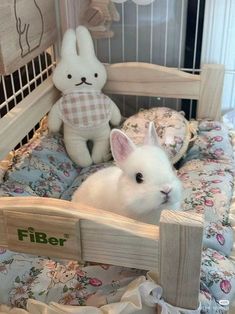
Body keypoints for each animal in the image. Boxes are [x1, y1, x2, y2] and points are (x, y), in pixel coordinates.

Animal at [47, 26, 121, 168]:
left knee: (100, 146)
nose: (83, 79)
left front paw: (117, 120)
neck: (83, 89)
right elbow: (54, 118)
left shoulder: (106, 100)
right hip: (75, 138)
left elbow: (114, 111)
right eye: (69, 76)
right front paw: (53, 128)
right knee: (78, 151)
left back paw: (97, 159)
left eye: (96, 74)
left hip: (102, 134)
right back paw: (87, 162)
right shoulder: (59, 104)